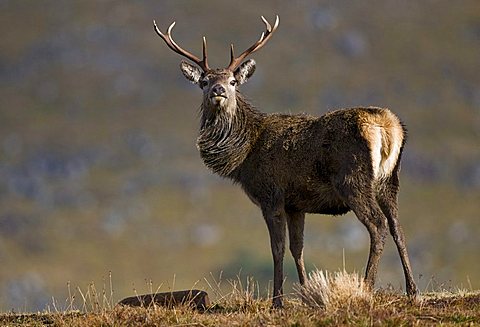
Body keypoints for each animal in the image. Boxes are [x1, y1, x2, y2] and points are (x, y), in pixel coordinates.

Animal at [153, 14, 416, 308]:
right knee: (397, 227)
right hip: (389, 181)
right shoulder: (296, 204)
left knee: (378, 225)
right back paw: (412, 289)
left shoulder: (271, 195)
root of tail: (388, 126)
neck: (243, 157)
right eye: (204, 81)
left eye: (233, 81)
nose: (218, 90)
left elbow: (277, 248)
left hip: (353, 180)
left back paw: (366, 287)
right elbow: (297, 248)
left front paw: (277, 300)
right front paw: (305, 291)